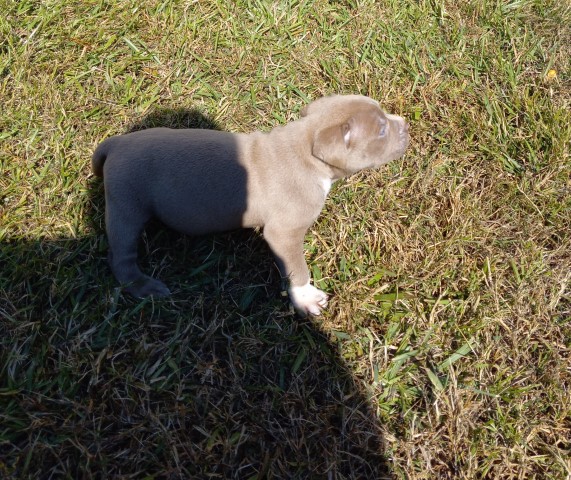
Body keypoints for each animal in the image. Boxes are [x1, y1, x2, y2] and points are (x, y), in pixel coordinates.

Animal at [91, 95, 408, 316]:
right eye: (382, 130)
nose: (405, 123)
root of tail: (115, 143)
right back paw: (145, 287)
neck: (304, 146)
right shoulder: (284, 233)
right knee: (121, 257)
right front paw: (305, 299)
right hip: (126, 205)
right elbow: (297, 269)